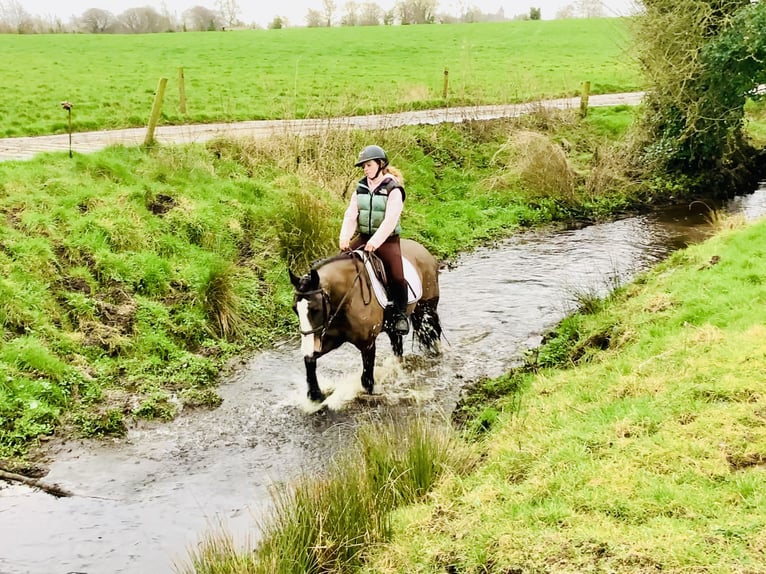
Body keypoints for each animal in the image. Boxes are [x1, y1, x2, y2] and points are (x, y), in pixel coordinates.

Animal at [289, 238, 442, 403]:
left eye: (315, 309)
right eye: (294, 309)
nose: (307, 346)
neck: (347, 297)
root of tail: (423, 250)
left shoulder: (367, 343)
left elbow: (367, 380)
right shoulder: (331, 339)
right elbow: (309, 359)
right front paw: (315, 395)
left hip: (426, 309)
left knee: (433, 334)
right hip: (393, 327)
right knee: (398, 349)